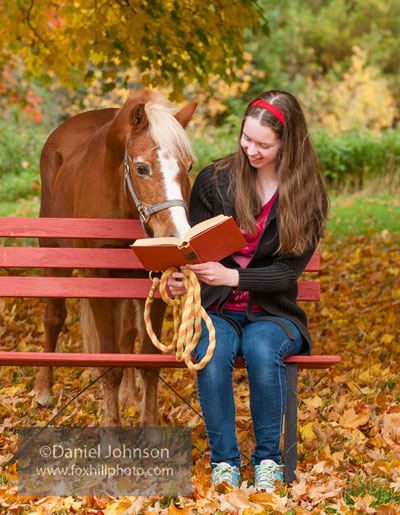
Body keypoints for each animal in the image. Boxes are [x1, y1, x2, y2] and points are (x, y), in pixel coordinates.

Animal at [35, 89, 198, 428]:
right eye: (141, 168)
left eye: (188, 167)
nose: (176, 236)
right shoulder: (98, 277)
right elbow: (110, 360)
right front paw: (112, 427)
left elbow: (146, 358)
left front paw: (149, 424)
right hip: (54, 256)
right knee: (54, 317)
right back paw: (44, 388)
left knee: (127, 335)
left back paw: (129, 396)